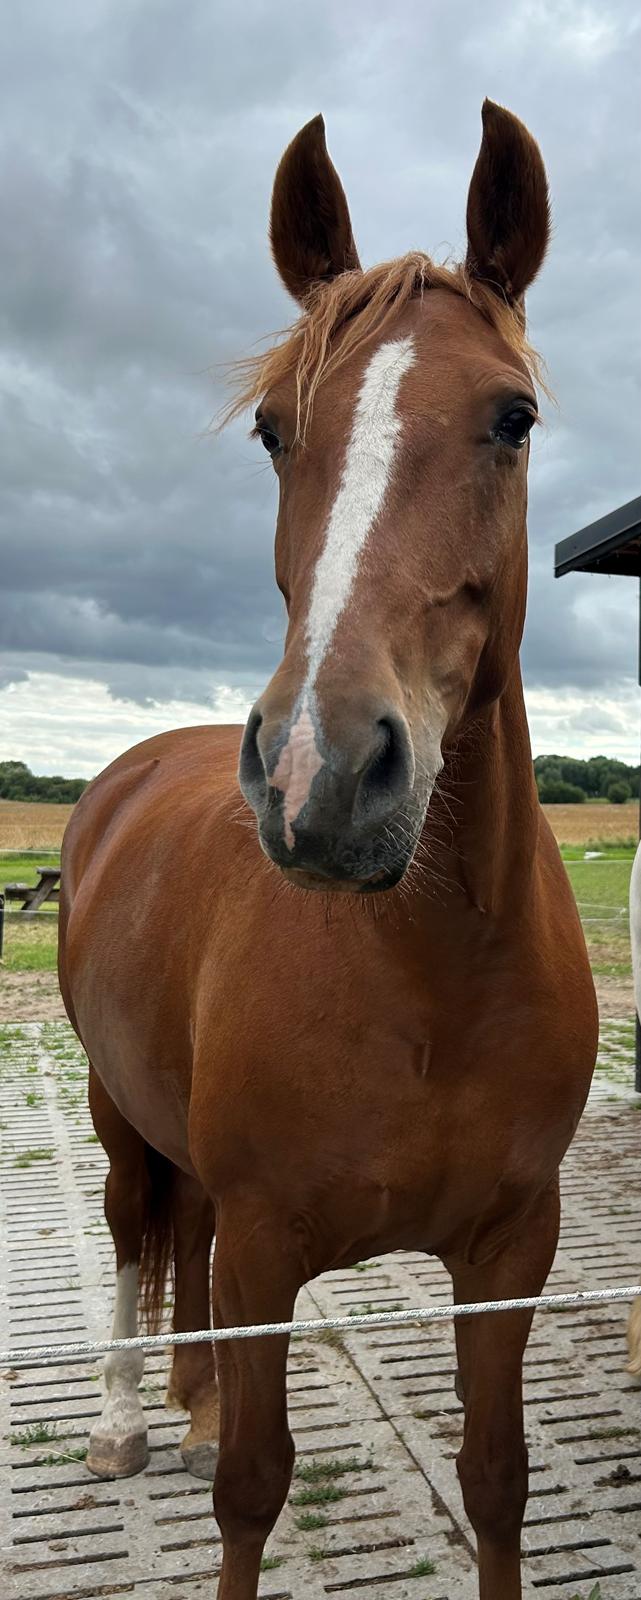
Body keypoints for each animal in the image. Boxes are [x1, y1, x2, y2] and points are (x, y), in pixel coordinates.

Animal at [57, 103, 597, 1600]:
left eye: (512, 418)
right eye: (271, 429)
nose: (321, 776)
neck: (429, 984)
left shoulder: (510, 1254)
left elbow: (496, 1481)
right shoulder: (268, 1256)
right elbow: (252, 1488)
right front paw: (203, 1446)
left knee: (175, 1238)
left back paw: (181, 1406)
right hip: (114, 1109)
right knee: (132, 1231)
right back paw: (127, 1421)